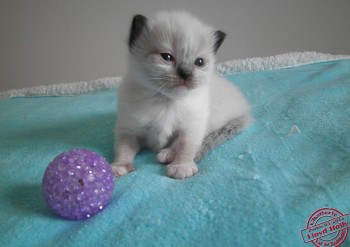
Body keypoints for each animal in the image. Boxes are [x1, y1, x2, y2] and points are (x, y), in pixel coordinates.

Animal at [112, 11, 252, 178]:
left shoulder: (191, 128)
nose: (186, 74)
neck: (167, 100)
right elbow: (123, 148)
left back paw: (167, 155)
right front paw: (119, 166)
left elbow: (186, 146)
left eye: (199, 62)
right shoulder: (129, 129)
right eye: (167, 57)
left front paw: (181, 167)